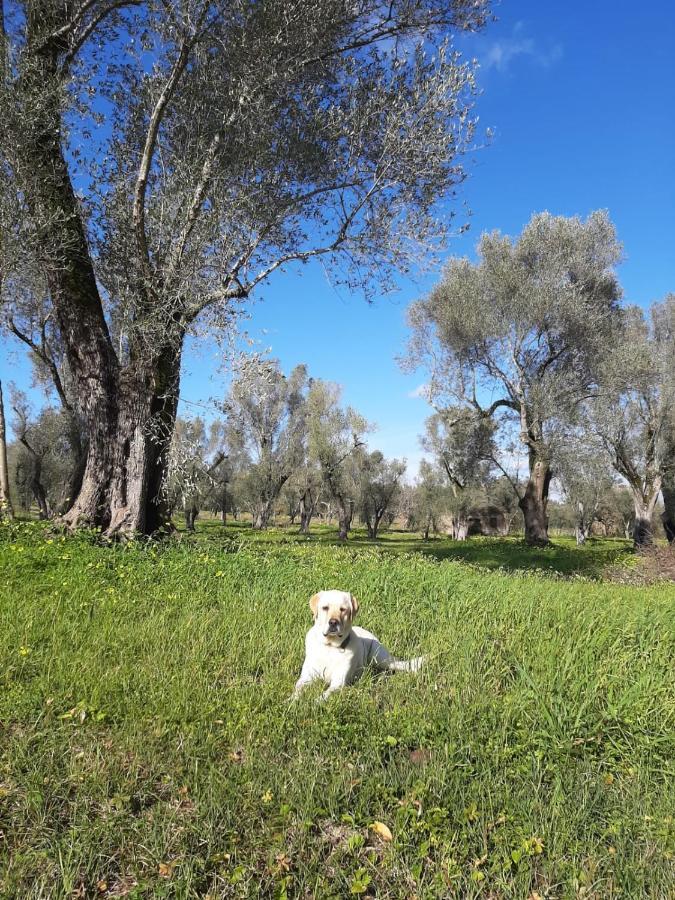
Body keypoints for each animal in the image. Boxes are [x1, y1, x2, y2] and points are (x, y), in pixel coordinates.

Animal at [294, 592, 426, 704]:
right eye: (325, 608)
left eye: (343, 609)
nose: (333, 622)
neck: (330, 646)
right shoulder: (306, 678)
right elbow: (298, 689)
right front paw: (292, 701)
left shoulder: (338, 683)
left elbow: (324, 695)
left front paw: (313, 703)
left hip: (381, 659)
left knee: (401, 665)